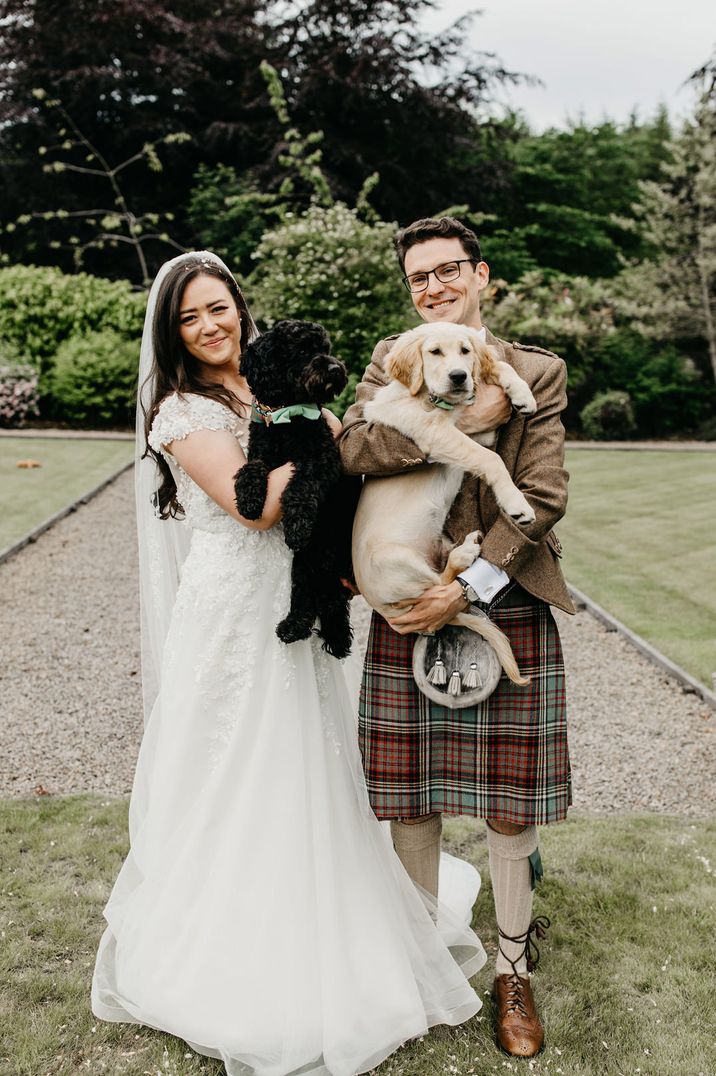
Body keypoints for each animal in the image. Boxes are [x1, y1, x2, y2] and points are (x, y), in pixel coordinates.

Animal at [233, 314, 357, 658]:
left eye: (325, 348)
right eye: (302, 351)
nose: (334, 368)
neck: (286, 418)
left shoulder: (323, 459)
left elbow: (301, 486)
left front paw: (297, 525)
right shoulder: (261, 452)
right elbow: (251, 468)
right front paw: (249, 499)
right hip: (305, 563)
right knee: (310, 599)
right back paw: (296, 628)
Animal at [351, 322, 536, 684]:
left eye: (465, 350)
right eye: (434, 352)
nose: (459, 377)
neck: (432, 400)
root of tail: (384, 608)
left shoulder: (476, 432)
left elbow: (499, 366)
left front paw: (522, 393)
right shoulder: (435, 434)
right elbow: (492, 459)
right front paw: (516, 503)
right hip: (395, 560)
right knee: (440, 588)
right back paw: (463, 556)